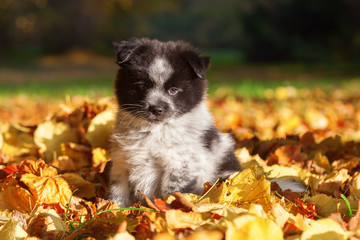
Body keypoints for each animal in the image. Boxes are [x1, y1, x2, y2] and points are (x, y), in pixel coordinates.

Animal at [107, 38, 242, 207]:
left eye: (173, 90)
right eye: (142, 87)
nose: (156, 109)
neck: (155, 130)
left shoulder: (180, 164)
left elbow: (172, 193)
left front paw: (170, 210)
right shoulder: (122, 162)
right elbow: (117, 191)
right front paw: (111, 208)